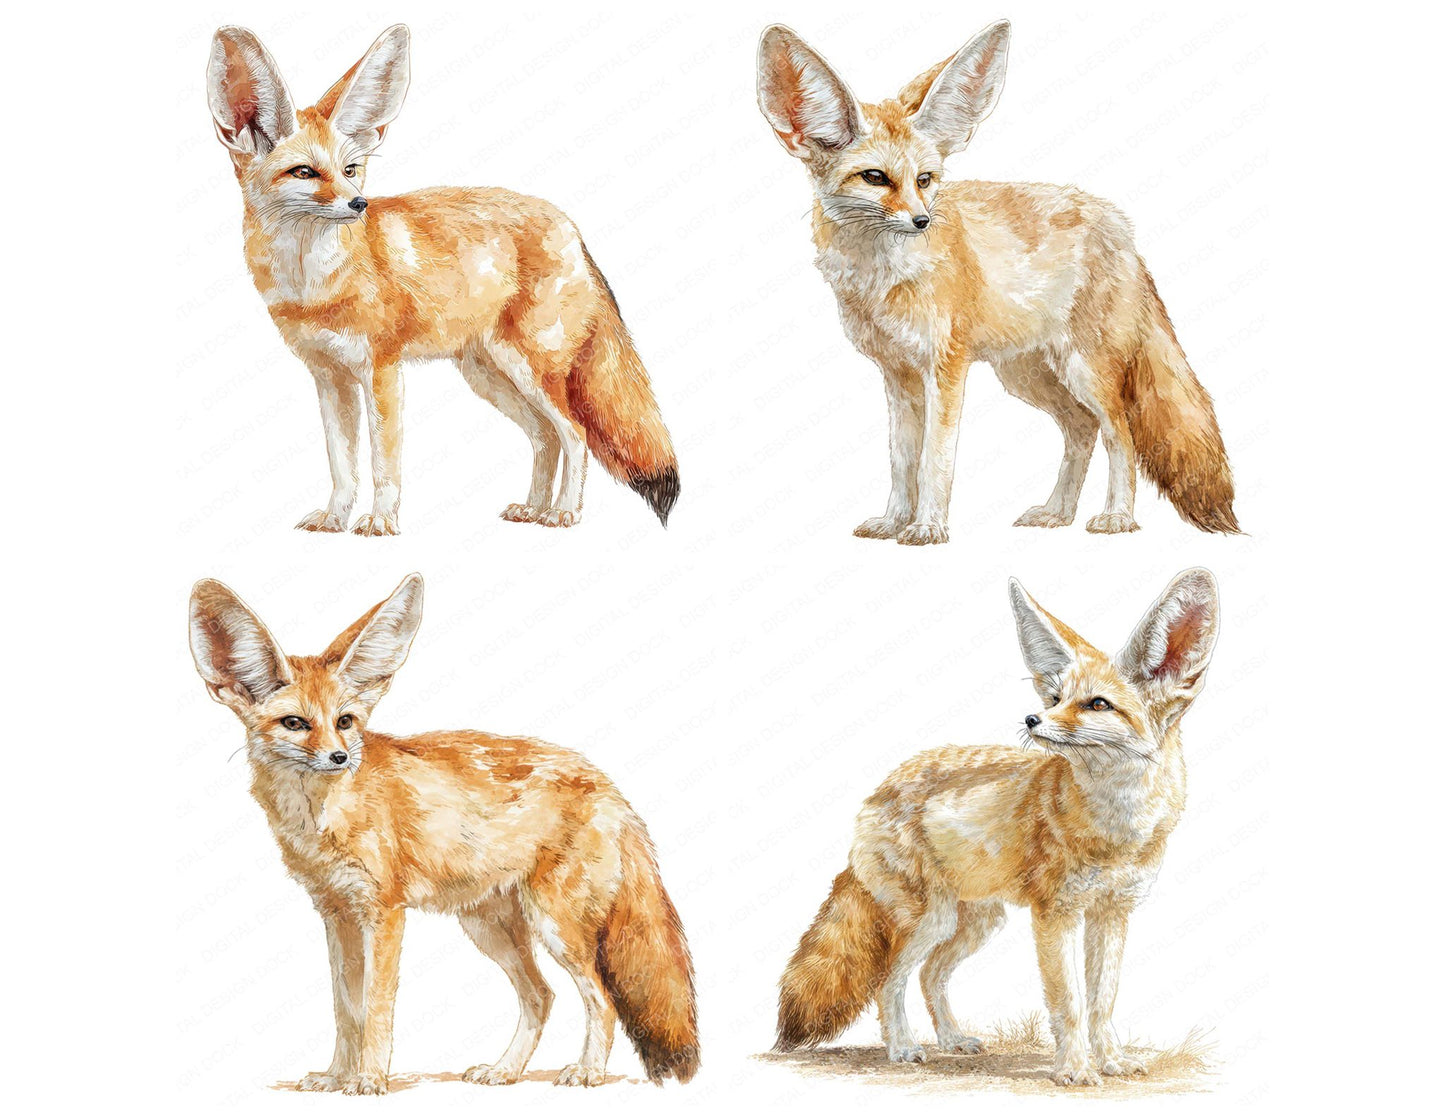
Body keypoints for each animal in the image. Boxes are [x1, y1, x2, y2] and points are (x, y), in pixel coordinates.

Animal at [187, 574, 699, 1093]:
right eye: (295, 723)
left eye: (344, 721)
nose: (339, 757)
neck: (322, 819)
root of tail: (609, 786)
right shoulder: (336, 913)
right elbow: (345, 1009)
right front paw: (335, 1076)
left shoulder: (383, 912)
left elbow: (375, 1009)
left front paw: (369, 1079)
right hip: (490, 929)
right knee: (542, 996)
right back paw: (505, 1070)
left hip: (556, 928)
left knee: (602, 1000)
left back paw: (588, 1071)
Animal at [206, 25, 679, 534]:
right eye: (305, 172)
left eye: (351, 170)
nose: (359, 204)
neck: (313, 286)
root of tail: (569, 224)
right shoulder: (329, 377)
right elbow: (342, 465)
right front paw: (334, 520)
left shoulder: (381, 370)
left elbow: (384, 463)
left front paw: (381, 522)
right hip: (489, 376)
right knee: (545, 438)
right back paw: (533, 509)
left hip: (528, 371)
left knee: (574, 434)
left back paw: (564, 512)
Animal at [757, 22, 1238, 542]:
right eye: (875, 177)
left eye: (925, 180)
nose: (922, 221)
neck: (882, 280)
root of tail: (1119, 225)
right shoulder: (897, 374)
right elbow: (902, 460)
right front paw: (893, 521)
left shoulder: (945, 369)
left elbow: (934, 460)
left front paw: (927, 528)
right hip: (1028, 375)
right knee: (1081, 430)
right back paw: (1057, 513)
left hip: (1084, 371)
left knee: (1121, 434)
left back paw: (1118, 517)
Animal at [775, 569, 1220, 1086]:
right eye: (1055, 698)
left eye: (1097, 704)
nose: (1032, 718)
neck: (1115, 829)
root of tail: (881, 788)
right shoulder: (1055, 914)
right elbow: (1069, 1004)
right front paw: (1074, 1069)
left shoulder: (1112, 912)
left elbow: (1102, 1002)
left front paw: (1111, 1060)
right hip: (931, 921)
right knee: (890, 981)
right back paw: (902, 1047)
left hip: (977, 923)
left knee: (930, 976)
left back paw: (952, 1039)